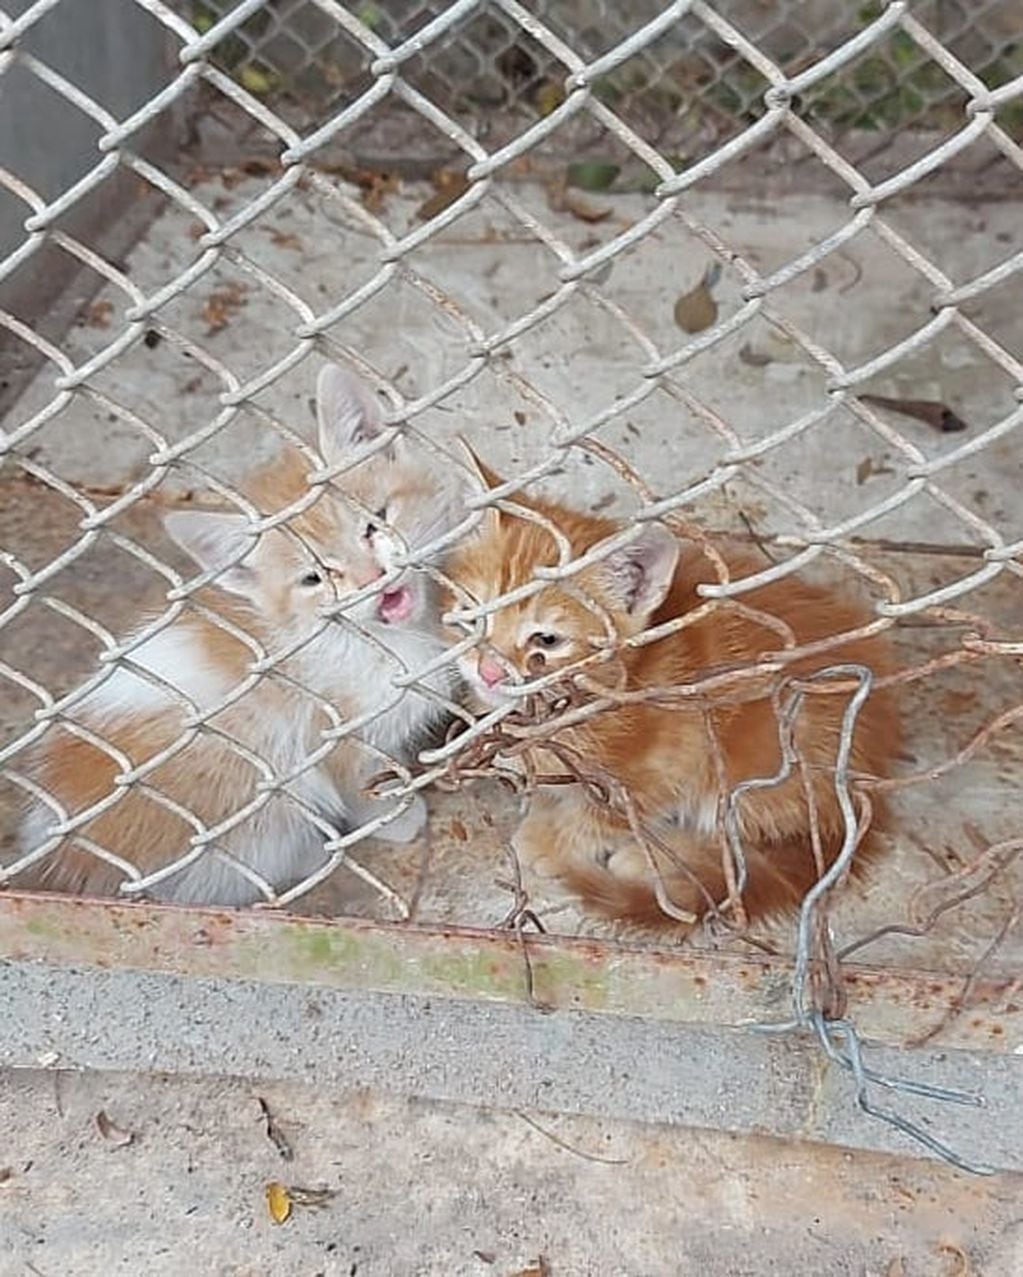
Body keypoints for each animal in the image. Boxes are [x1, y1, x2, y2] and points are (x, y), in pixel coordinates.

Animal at [447, 457, 894, 929]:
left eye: (547, 641)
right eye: (473, 615)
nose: (488, 672)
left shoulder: (663, 764)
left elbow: (606, 816)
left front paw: (555, 839)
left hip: (758, 761)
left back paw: (666, 861)